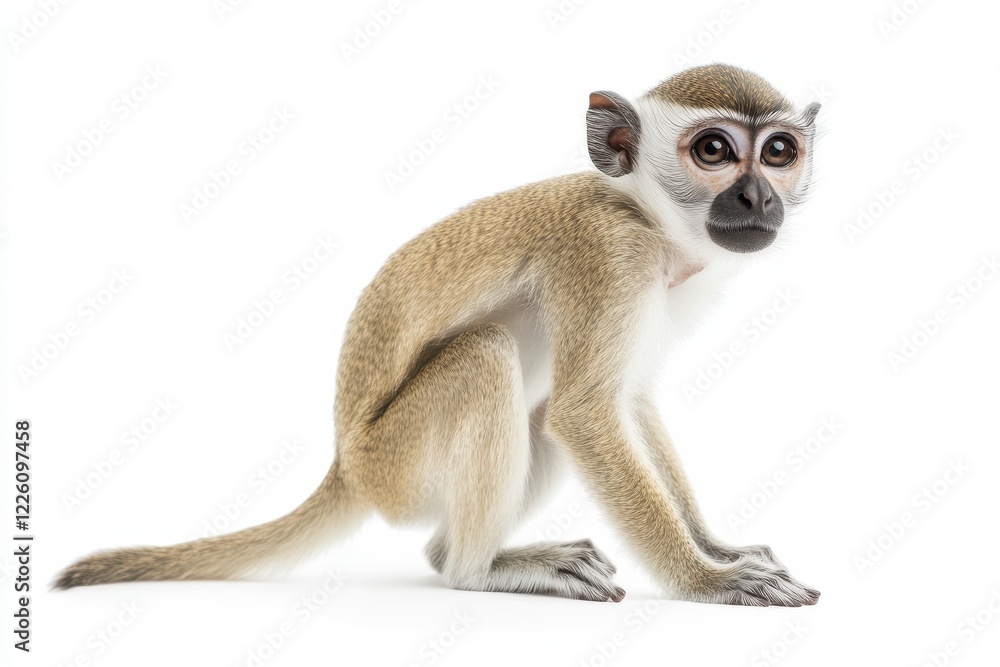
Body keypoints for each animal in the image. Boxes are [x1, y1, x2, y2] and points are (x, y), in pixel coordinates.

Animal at [56, 63, 821, 607]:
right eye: (714, 149)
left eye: (778, 151)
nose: (758, 196)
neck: (647, 218)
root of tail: (345, 465)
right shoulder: (607, 257)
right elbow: (586, 414)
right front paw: (703, 578)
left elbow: (628, 404)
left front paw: (717, 548)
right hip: (394, 466)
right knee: (490, 359)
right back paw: (475, 570)